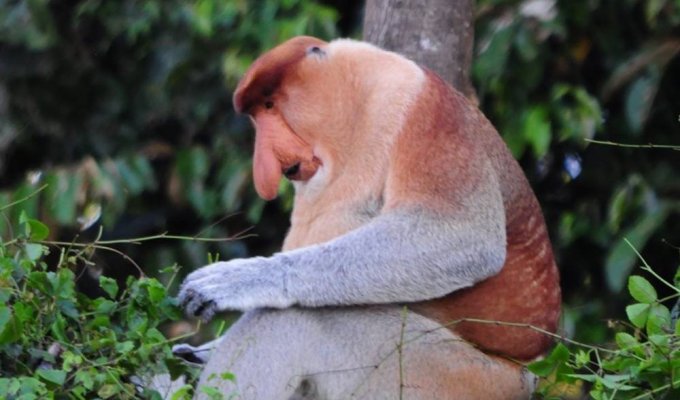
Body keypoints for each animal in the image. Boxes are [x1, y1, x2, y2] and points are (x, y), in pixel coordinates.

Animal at [173, 36, 560, 400]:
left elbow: (465, 234)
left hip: (442, 373)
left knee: (298, 319)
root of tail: (528, 374)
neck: (354, 113)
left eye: (270, 105)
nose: (265, 163)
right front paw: (198, 351)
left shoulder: (424, 110)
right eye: (256, 115)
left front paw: (234, 280)